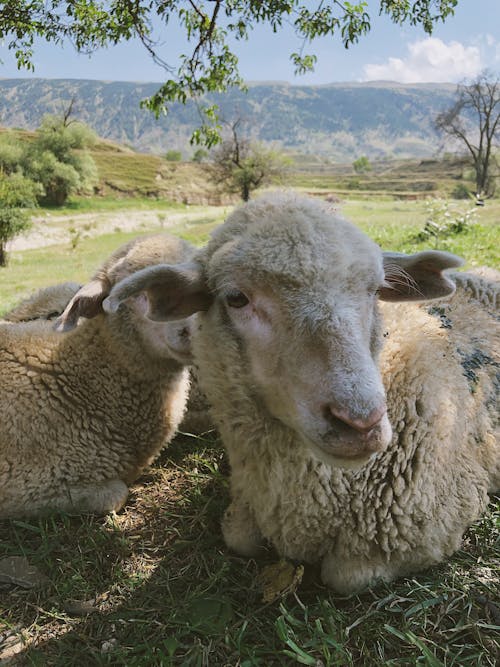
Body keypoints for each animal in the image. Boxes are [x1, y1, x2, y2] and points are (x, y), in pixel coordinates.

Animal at [103, 193, 498, 596]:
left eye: (374, 290)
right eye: (236, 298)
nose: (361, 422)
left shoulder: (436, 519)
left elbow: (346, 575)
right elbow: (238, 537)